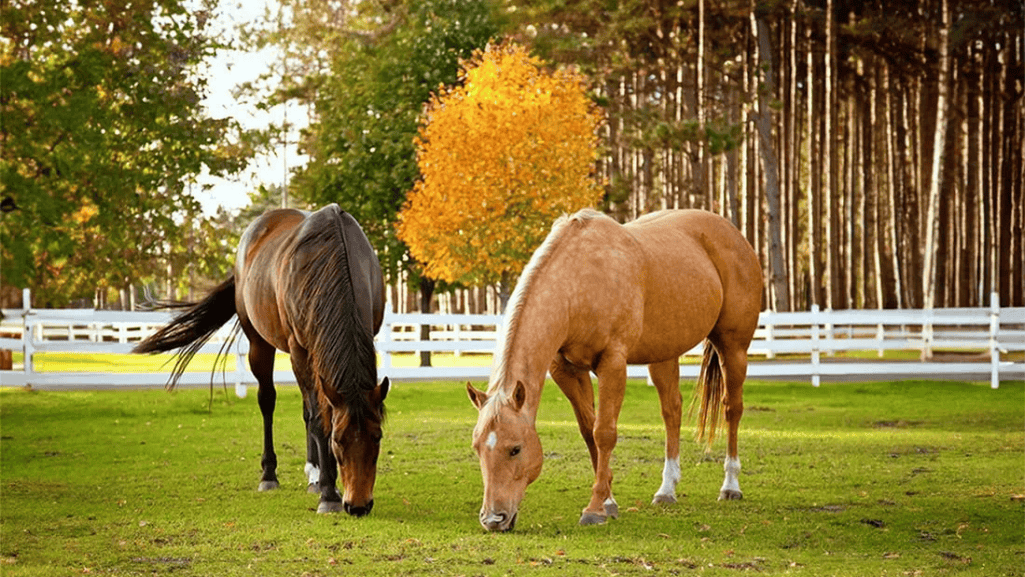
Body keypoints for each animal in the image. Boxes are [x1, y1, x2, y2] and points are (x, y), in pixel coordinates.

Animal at [134, 204, 389, 516]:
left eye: (377, 436)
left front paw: (324, 483)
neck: (333, 255)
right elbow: (320, 419)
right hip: (260, 343)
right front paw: (329, 494)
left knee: (306, 408)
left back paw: (313, 474)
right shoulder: (299, 349)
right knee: (269, 401)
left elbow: (317, 413)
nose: (358, 505)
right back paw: (271, 475)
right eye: (338, 440)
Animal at [466, 208, 762, 531]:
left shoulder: (612, 364)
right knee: (672, 411)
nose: (493, 519)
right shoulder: (566, 369)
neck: (577, 283)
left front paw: (595, 508)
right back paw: (666, 490)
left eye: (516, 449)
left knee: (732, 409)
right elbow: (589, 430)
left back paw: (730, 486)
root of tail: (733, 234)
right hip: (663, 355)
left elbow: (604, 432)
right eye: (477, 447)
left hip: (732, 348)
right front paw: (609, 501)